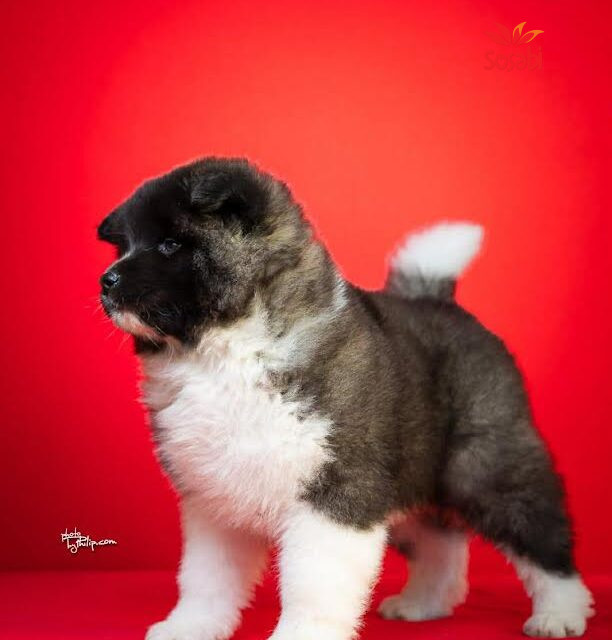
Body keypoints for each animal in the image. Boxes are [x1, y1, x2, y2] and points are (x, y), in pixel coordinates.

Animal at [97, 158, 593, 640]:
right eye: (124, 246)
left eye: (169, 245)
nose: (107, 280)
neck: (225, 351)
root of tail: (443, 303)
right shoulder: (216, 497)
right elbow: (205, 577)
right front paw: (189, 627)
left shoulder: (336, 490)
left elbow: (313, 582)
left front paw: (302, 634)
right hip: (409, 475)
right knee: (439, 544)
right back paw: (423, 604)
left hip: (486, 467)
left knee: (540, 537)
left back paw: (560, 614)